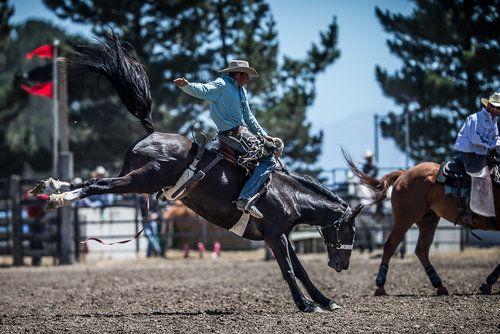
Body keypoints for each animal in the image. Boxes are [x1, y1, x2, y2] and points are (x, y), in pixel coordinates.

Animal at [31, 34, 362, 314]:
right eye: (351, 230)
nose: (342, 265)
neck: (288, 195)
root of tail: (151, 133)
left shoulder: (280, 233)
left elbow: (301, 269)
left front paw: (325, 301)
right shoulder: (273, 234)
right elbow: (290, 270)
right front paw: (306, 305)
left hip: (134, 175)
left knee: (93, 180)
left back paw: (48, 187)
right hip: (141, 179)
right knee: (98, 185)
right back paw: (58, 199)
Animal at [344, 151, 500, 294]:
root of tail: (405, 172)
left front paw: (489, 283)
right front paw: (488, 283)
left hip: (428, 220)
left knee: (421, 250)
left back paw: (439, 285)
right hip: (405, 218)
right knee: (390, 245)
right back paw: (380, 285)